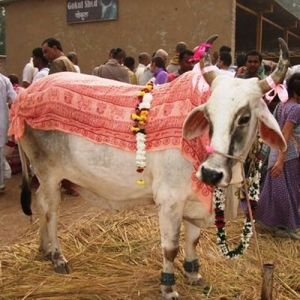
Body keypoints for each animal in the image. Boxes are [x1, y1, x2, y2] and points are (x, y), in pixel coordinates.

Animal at [9, 36, 288, 298]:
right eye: (207, 115)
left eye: (245, 118)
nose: (211, 173)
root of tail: (25, 95)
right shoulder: (170, 201)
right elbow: (170, 248)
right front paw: (169, 288)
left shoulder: (195, 201)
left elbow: (194, 240)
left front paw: (193, 274)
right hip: (49, 173)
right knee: (49, 210)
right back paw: (57, 256)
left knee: (41, 205)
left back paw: (44, 250)